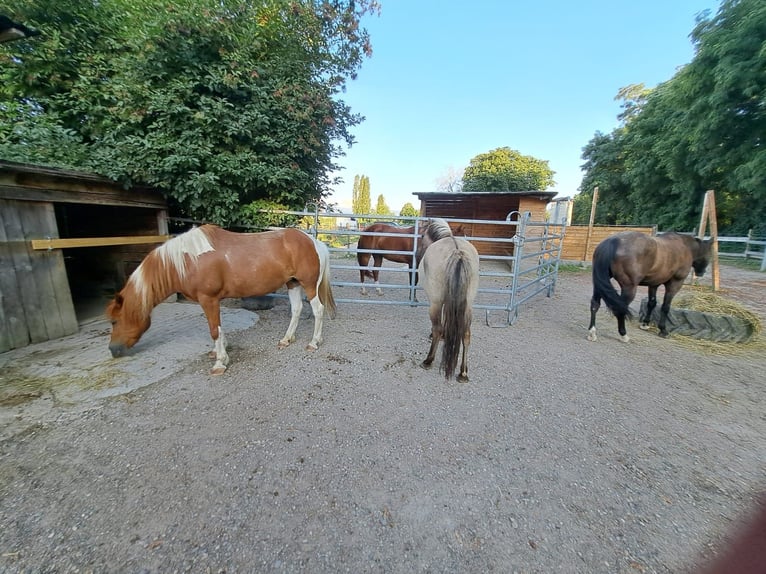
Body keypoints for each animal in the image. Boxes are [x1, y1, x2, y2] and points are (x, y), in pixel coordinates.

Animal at [107, 225, 336, 378]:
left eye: (114, 321)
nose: (113, 350)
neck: (187, 260)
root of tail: (313, 242)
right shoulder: (211, 301)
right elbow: (218, 327)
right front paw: (219, 352)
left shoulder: (208, 299)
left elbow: (214, 329)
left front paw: (220, 363)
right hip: (292, 283)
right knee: (296, 309)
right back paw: (286, 339)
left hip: (309, 285)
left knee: (318, 310)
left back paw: (314, 343)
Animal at [420, 219, 480, 382]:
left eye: (422, 235)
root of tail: (458, 253)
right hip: (468, 306)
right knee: (466, 334)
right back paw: (463, 372)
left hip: (435, 303)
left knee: (437, 328)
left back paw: (428, 360)